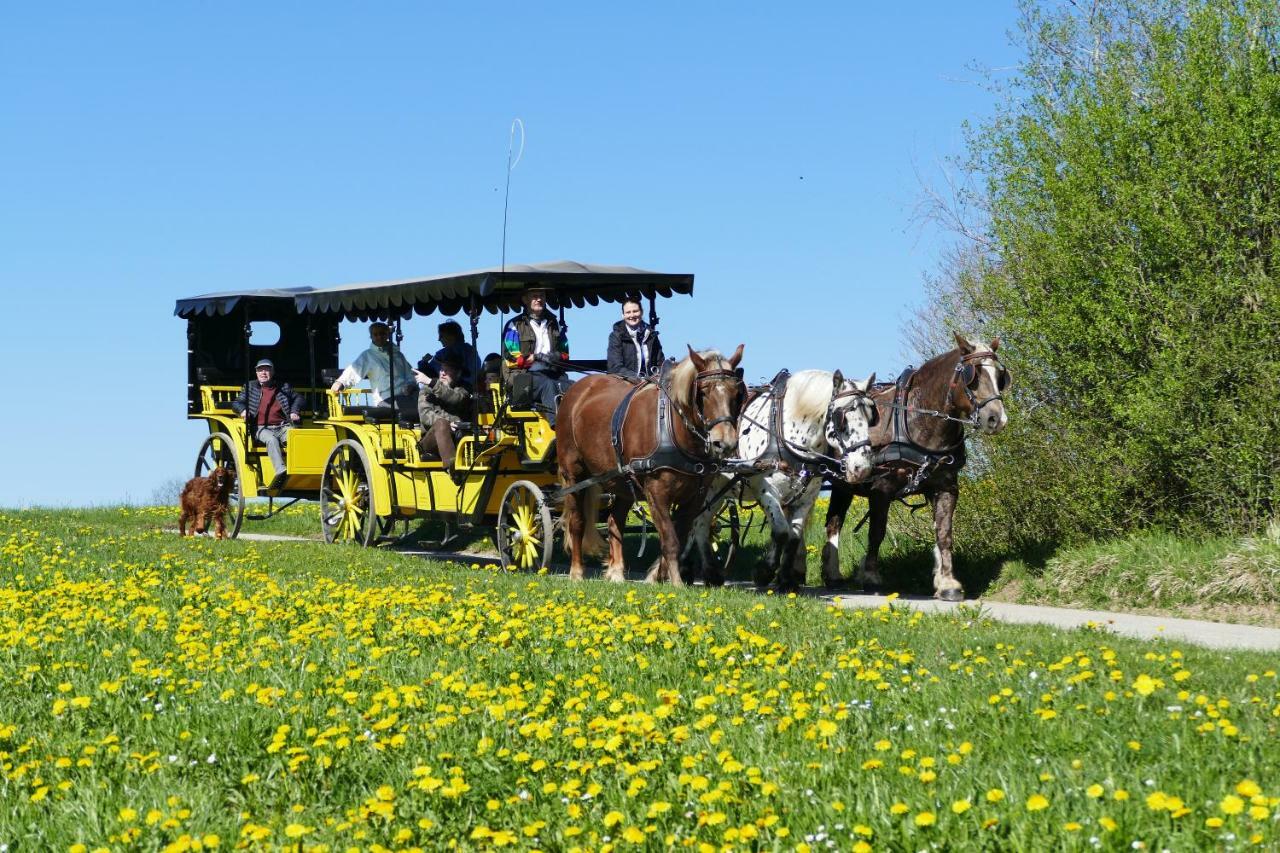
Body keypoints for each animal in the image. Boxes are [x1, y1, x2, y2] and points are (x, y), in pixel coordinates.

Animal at [555, 343, 747, 578]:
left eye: (737, 393)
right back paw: (576, 572)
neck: (673, 427)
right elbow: (670, 539)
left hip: (623, 481)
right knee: (576, 522)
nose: (725, 443)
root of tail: (575, 391)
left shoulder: (695, 496)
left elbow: (680, 536)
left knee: (614, 521)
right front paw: (674, 580)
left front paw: (659, 576)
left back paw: (616, 572)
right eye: (702, 392)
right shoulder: (656, 491)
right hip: (573, 474)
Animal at [691, 368, 880, 589]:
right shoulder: (765, 489)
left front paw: (786, 579)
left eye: (871, 417)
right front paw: (764, 572)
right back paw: (704, 572)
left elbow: (793, 536)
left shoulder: (807, 496)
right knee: (699, 524)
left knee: (698, 524)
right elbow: (781, 531)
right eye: (841, 418)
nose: (862, 467)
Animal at [819, 333, 1008, 596]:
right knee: (833, 524)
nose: (997, 419)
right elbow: (876, 532)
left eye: (1001, 376)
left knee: (833, 522)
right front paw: (871, 577)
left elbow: (944, 533)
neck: (916, 419)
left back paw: (832, 575)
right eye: (973, 375)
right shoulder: (881, 488)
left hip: (843, 484)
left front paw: (947, 583)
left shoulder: (946, 487)